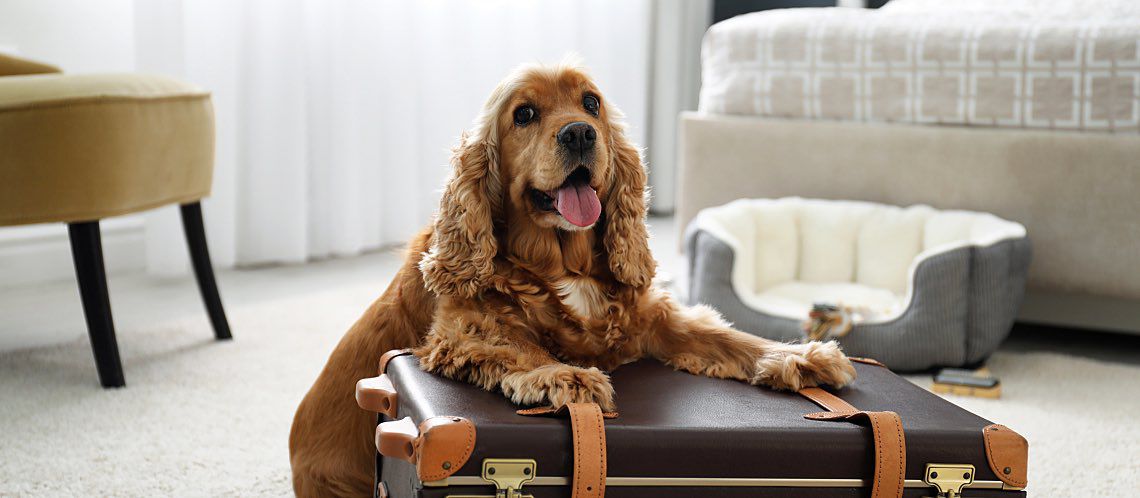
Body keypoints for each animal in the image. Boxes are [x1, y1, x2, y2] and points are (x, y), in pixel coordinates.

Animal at [291, 60, 857, 494]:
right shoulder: (461, 333)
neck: (564, 263)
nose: (580, 132)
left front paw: (799, 355)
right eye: (524, 114)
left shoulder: (651, 318)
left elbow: (726, 336)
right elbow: (520, 346)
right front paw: (565, 375)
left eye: (591, 104)